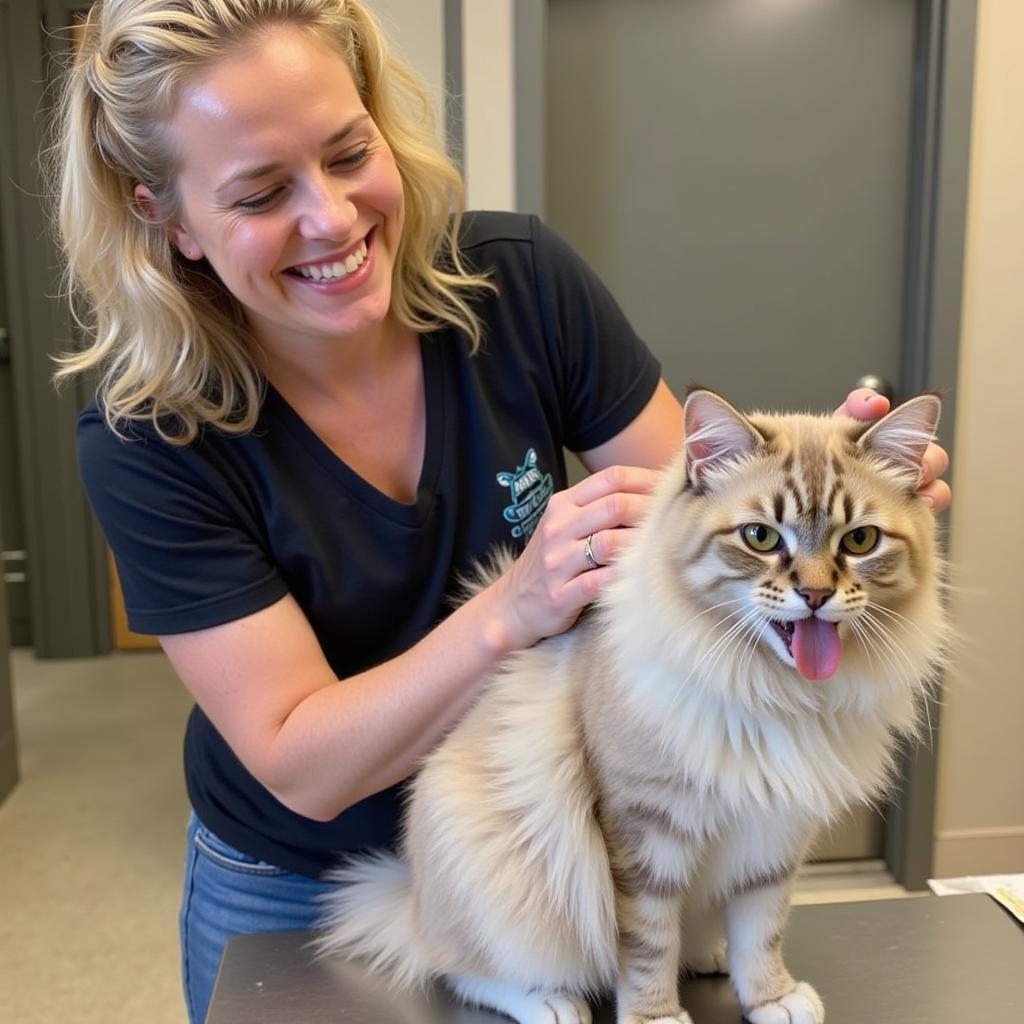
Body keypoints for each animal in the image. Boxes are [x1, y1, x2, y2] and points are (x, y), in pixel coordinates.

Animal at [315, 389, 946, 1024]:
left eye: (860, 542)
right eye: (761, 537)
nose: (815, 595)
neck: (774, 693)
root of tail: (413, 901)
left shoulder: (775, 837)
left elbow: (761, 932)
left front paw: (771, 998)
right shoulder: (644, 832)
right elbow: (647, 945)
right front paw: (657, 1015)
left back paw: (708, 954)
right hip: (497, 878)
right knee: (461, 970)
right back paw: (550, 1002)